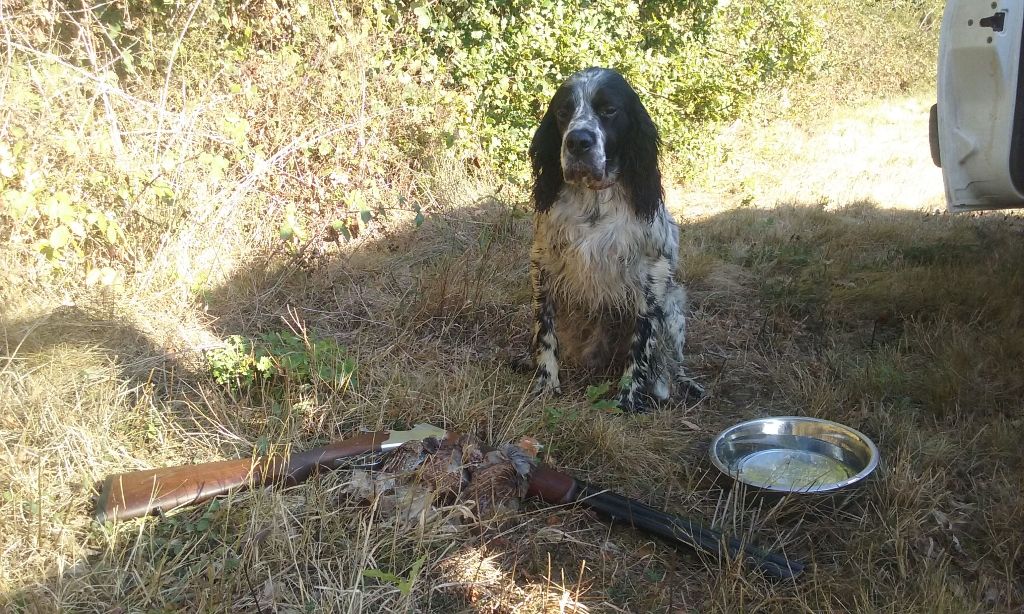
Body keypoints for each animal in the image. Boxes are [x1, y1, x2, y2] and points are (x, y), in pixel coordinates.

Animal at [528, 67, 704, 413]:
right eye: (563, 112)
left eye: (609, 110)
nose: (578, 141)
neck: (594, 200)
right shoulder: (545, 265)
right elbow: (546, 333)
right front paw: (546, 383)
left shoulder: (652, 279)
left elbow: (641, 347)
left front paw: (627, 399)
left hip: (673, 307)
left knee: (673, 364)